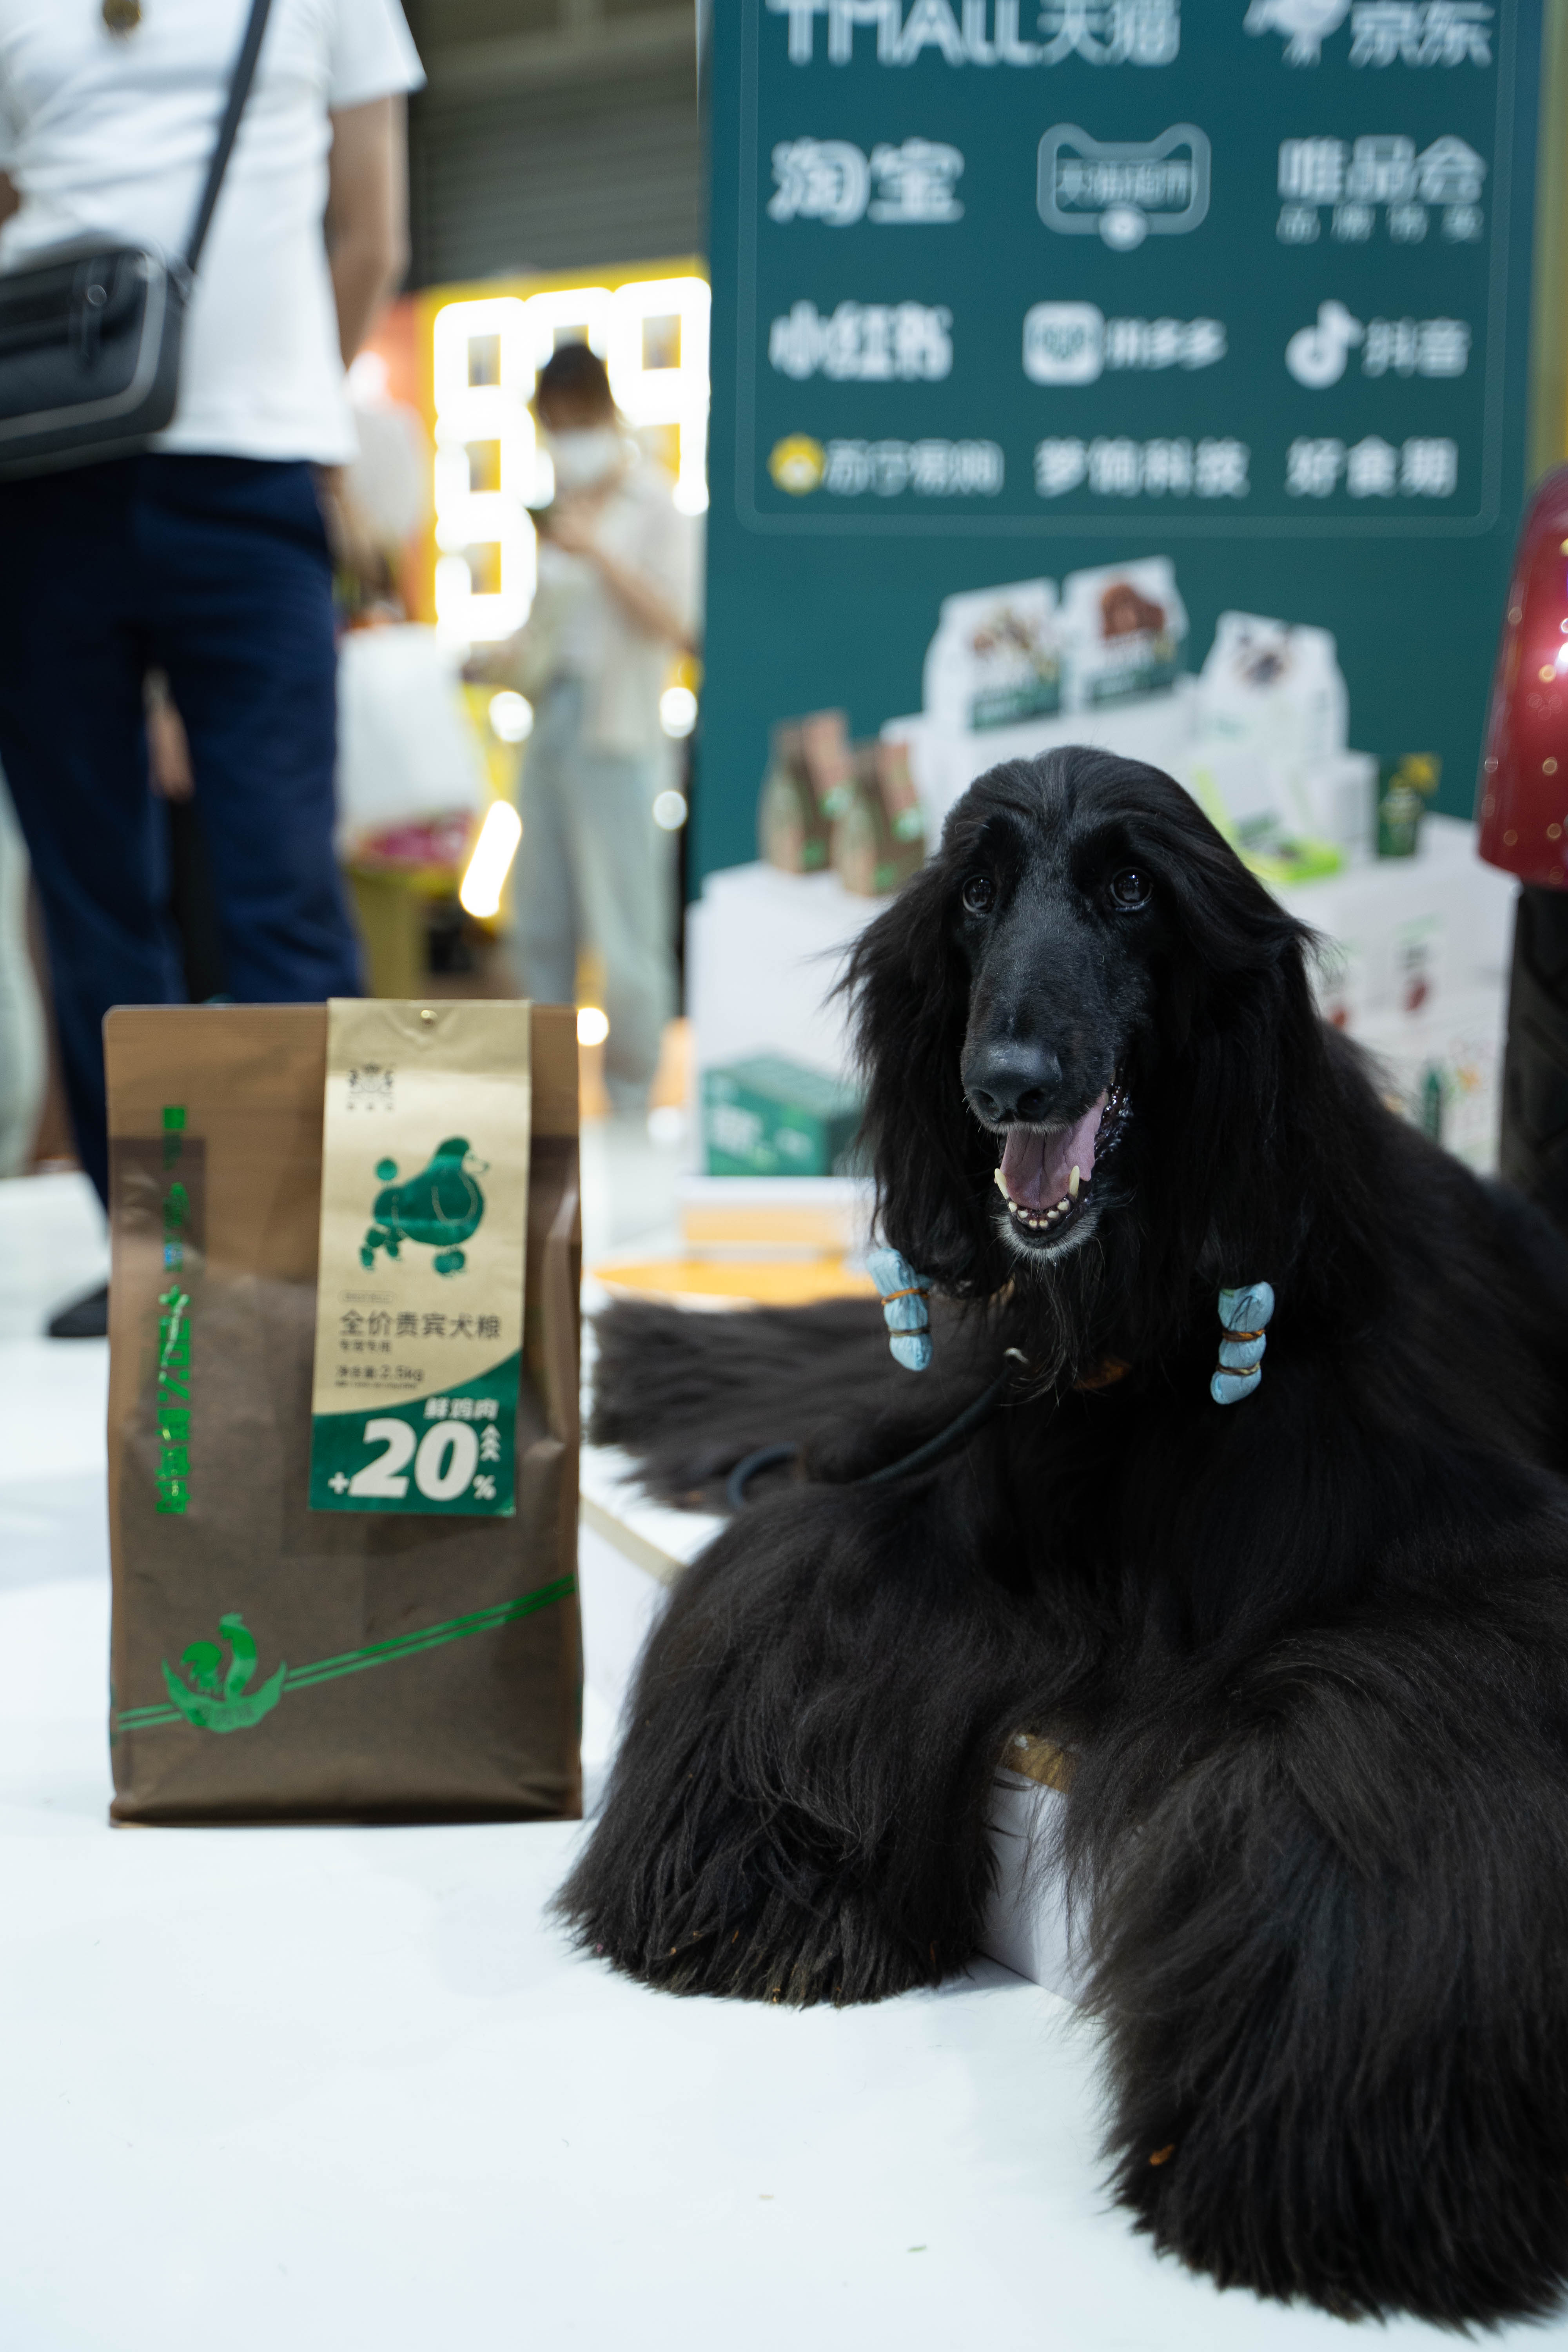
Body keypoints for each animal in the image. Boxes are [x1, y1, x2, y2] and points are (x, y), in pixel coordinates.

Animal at [560, 747, 1568, 2327]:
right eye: (973, 894)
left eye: (1133, 889)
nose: (1007, 1083)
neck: (1137, 1325)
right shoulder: (965, 1478)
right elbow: (811, 1573)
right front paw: (760, 1875)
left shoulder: (1463, 1570)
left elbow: (1386, 1768)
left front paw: (1322, 2126)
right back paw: (650, 1350)